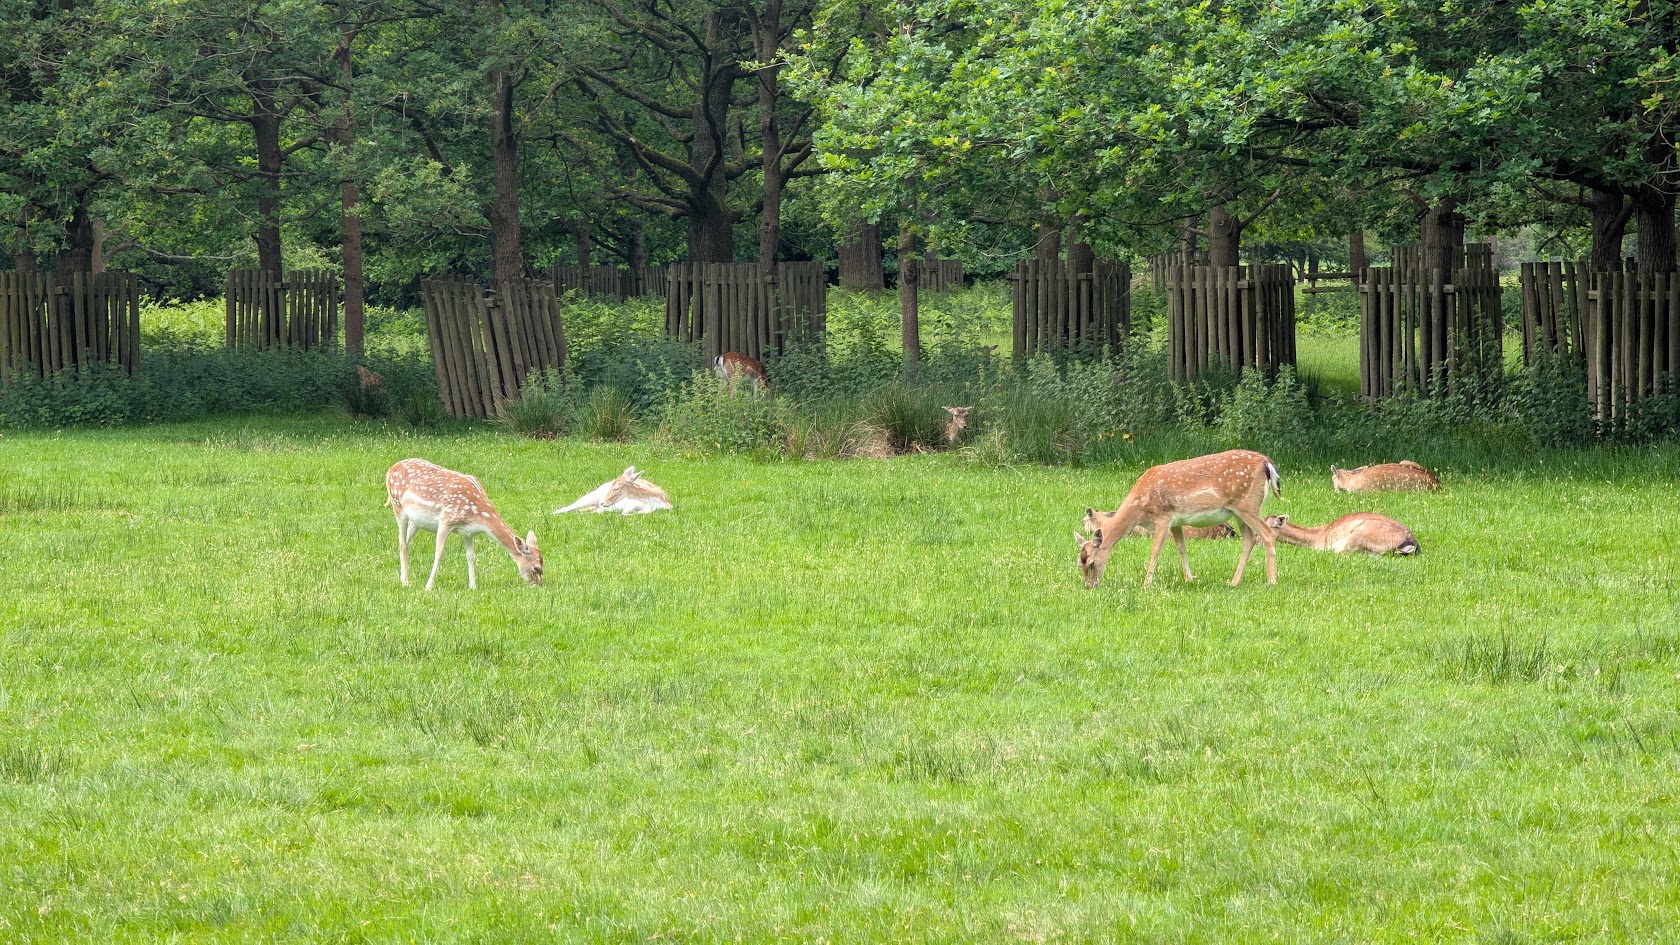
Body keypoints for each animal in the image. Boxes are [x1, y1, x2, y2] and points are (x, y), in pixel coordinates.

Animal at [385, 459, 544, 590]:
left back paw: (403, 578)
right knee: (402, 542)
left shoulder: (469, 532)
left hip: (416, 521)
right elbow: (439, 553)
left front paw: (473, 586)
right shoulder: (446, 519)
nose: (540, 585)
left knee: (404, 541)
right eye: (536, 568)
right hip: (397, 504)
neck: (478, 515)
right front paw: (428, 586)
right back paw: (405, 582)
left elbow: (470, 556)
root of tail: (390, 470)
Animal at [1076, 449, 1281, 588]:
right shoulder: (1176, 521)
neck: (1139, 507)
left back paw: (1271, 581)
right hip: (1238, 511)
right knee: (1249, 539)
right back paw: (1233, 582)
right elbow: (1182, 548)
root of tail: (1268, 463)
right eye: (1080, 563)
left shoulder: (1163, 516)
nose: (1089, 586)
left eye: (1092, 563)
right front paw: (1189, 579)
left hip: (1247, 505)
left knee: (1268, 534)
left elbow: (1155, 550)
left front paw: (1146, 584)